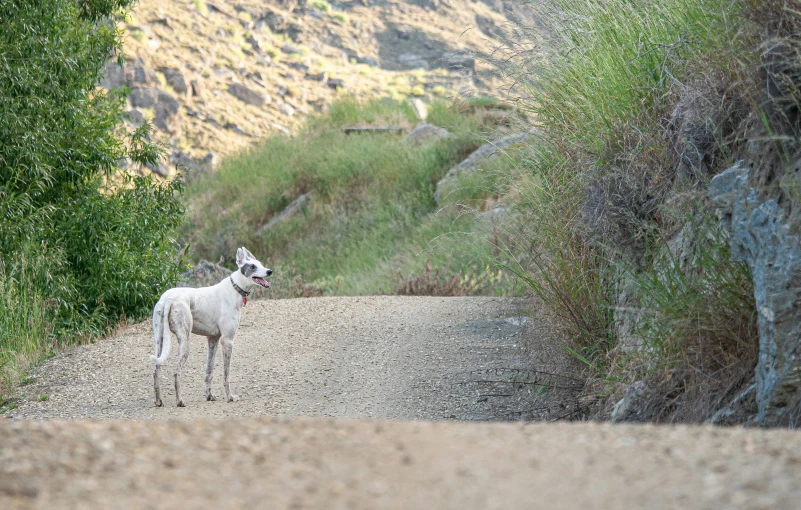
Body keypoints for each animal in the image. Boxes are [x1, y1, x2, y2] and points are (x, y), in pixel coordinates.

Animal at [150, 246, 272, 406]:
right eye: (252, 266)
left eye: (261, 264)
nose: (269, 271)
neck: (235, 287)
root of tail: (170, 299)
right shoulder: (227, 341)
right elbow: (226, 375)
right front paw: (230, 397)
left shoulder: (213, 339)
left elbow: (209, 372)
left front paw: (209, 396)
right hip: (184, 341)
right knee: (176, 373)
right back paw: (180, 401)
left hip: (159, 340)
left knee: (156, 371)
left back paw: (158, 401)